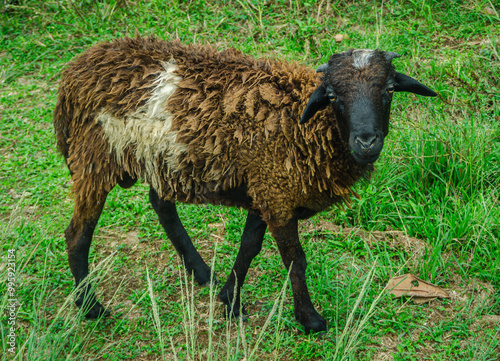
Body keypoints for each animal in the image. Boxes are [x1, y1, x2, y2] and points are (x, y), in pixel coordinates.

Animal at [52, 35, 436, 334]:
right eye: (333, 96)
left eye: (389, 90)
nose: (366, 141)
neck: (305, 127)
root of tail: (76, 70)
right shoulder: (276, 192)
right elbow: (294, 259)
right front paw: (309, 319)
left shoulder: (266, 188)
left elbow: (249, 246)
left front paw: (229, 299)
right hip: (95, 157)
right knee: (78, 234)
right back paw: (90, 306)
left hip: (162, 159)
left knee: (160, 204)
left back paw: (201, 272)